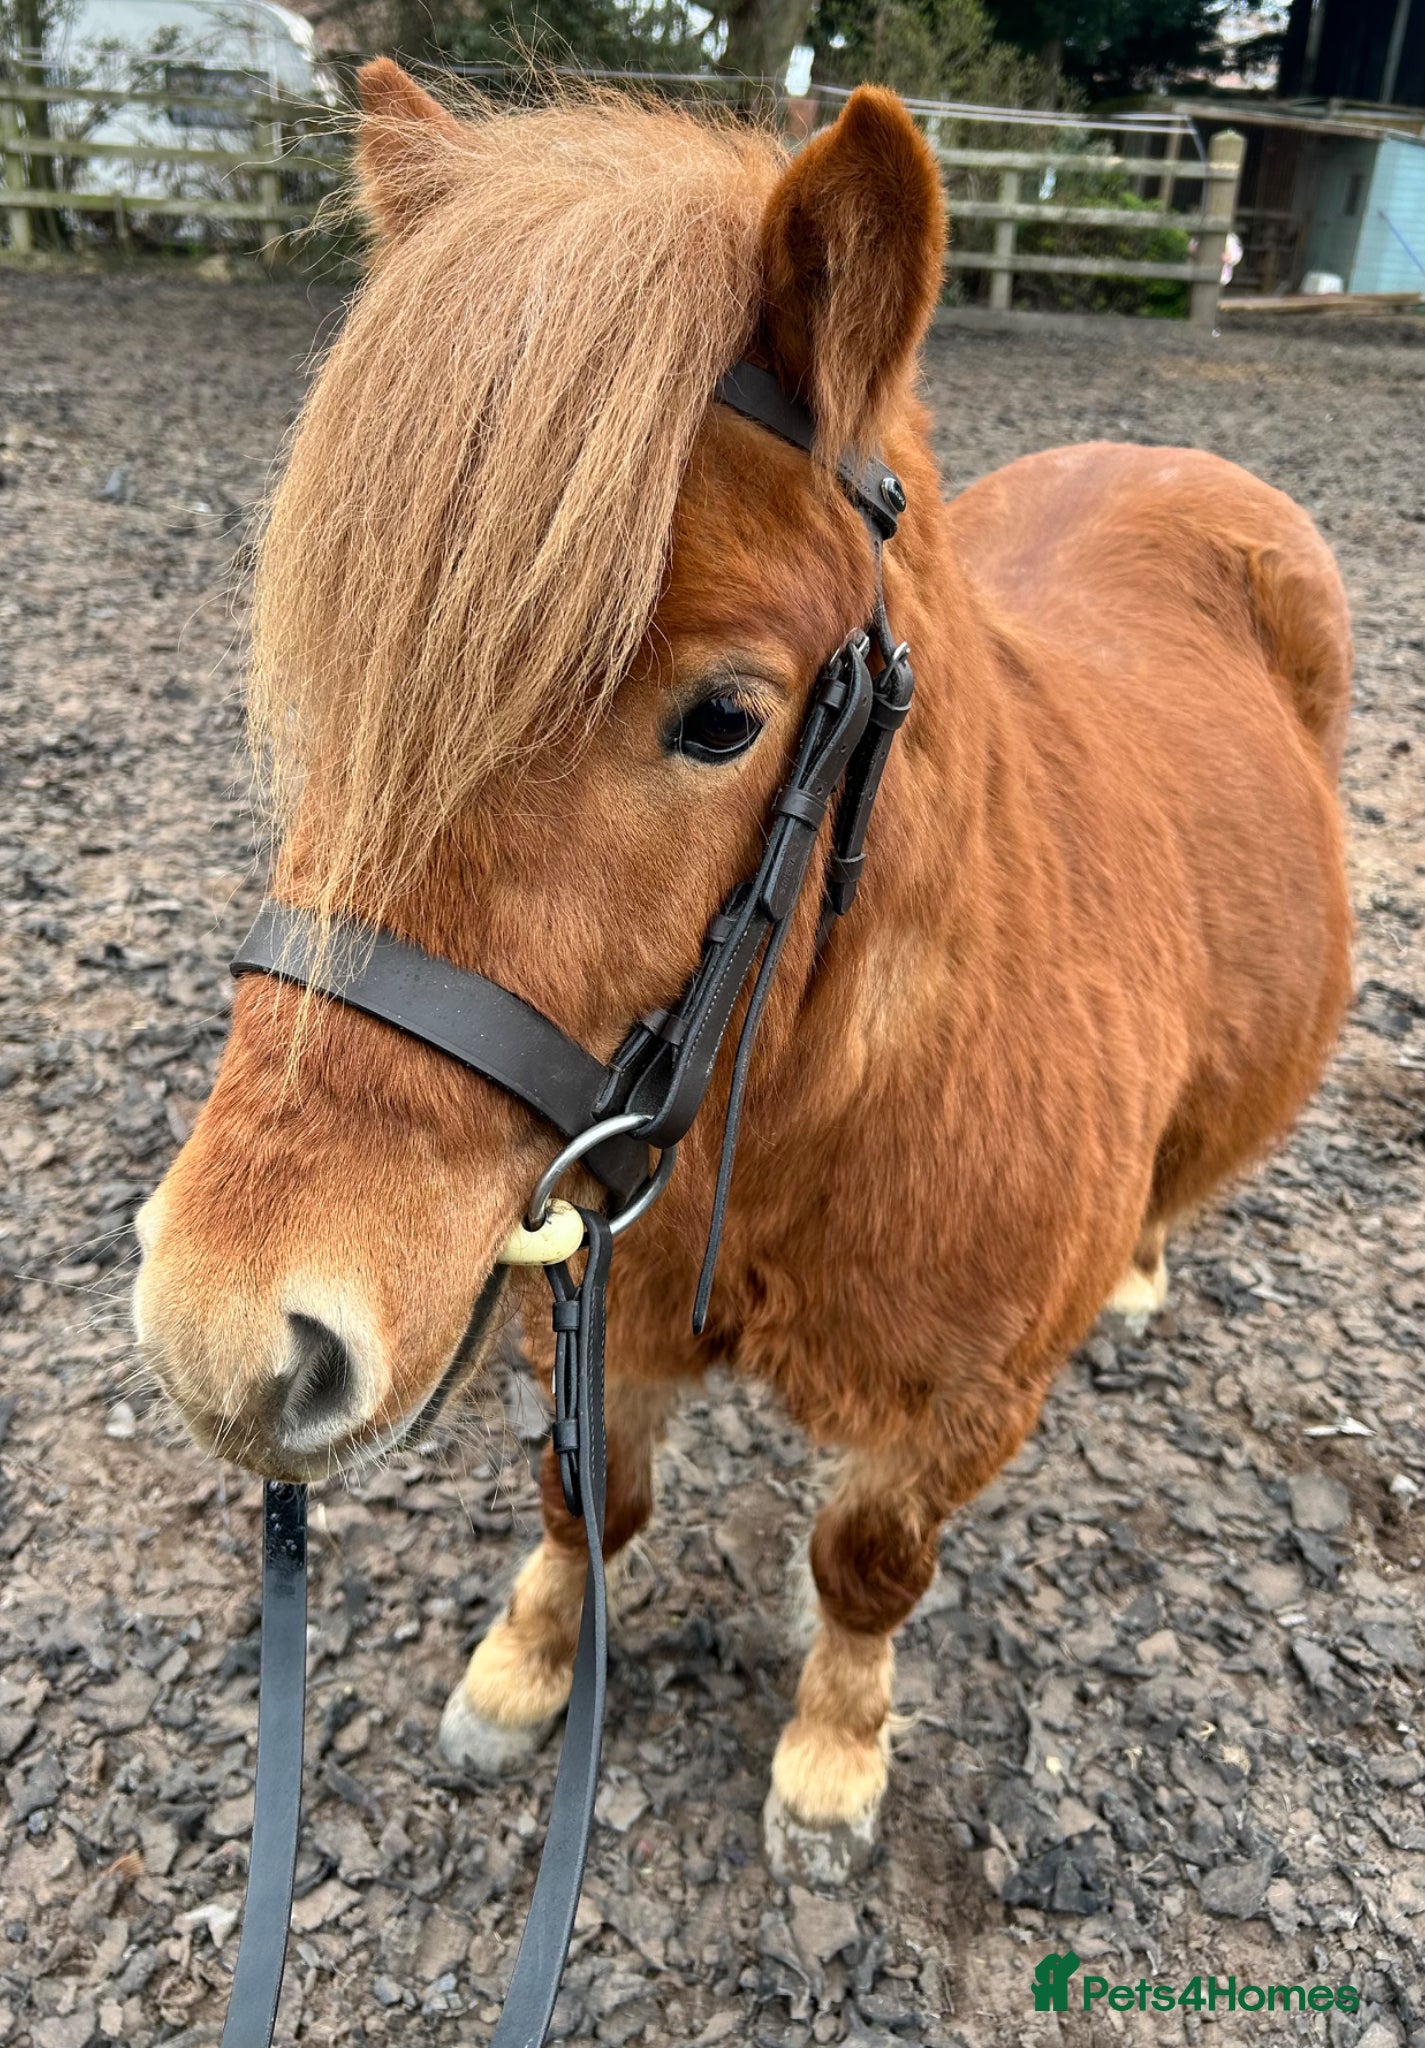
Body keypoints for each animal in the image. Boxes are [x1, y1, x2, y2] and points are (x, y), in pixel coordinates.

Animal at [133, 61, 1353, 1886]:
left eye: (723, 717)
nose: (230, 1333)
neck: (806, 1104)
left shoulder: (960, 1412)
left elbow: (866, 1566)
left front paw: (833, 1763)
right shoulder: (594, 1310)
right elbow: (586, 1505)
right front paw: (527, 1666)